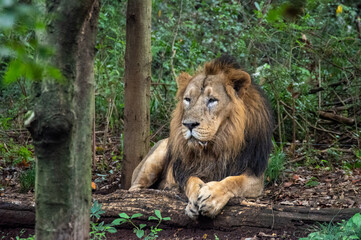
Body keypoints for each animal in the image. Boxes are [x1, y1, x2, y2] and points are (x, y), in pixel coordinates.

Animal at [128, 54, 272, 219]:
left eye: (212, 100)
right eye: (187, 99)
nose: (189, 124)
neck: (218, 144)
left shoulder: (255, 175)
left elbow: (233, 181)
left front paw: (212, 196)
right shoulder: (185, 170)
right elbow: (192, 181)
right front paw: (194, 200)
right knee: (133, 189)